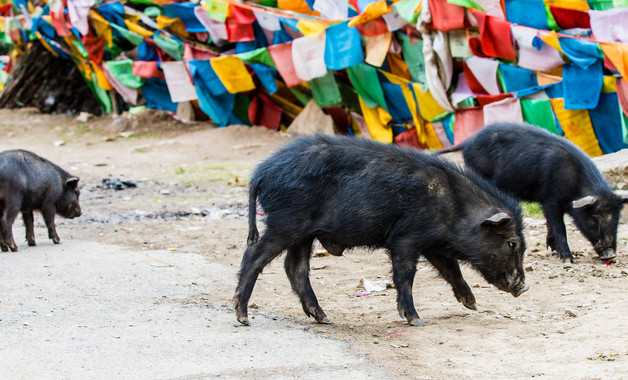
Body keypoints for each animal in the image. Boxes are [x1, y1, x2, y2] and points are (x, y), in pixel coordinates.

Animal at [233, 134, 528, 326]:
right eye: (512, 243)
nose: (524, 287)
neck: (455, 207)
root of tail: (261, 173)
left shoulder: (432, 243)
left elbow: (451, 269)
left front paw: (472, 304)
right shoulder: (405, 238)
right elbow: (405, 274)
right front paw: (415, 320)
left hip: (303, 233)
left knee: (295, 268)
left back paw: (324, 318)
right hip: (286, 222)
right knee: (254, 256)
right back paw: (243, 316)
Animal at [436, 122, 628, 264]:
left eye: (617, 218)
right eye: (594, 219)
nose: (610, 255)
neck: (575, 182)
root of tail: (468, 141)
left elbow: (551, 223)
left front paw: (551, 247)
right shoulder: (550, 198)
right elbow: (560, 226)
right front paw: (567, 260)